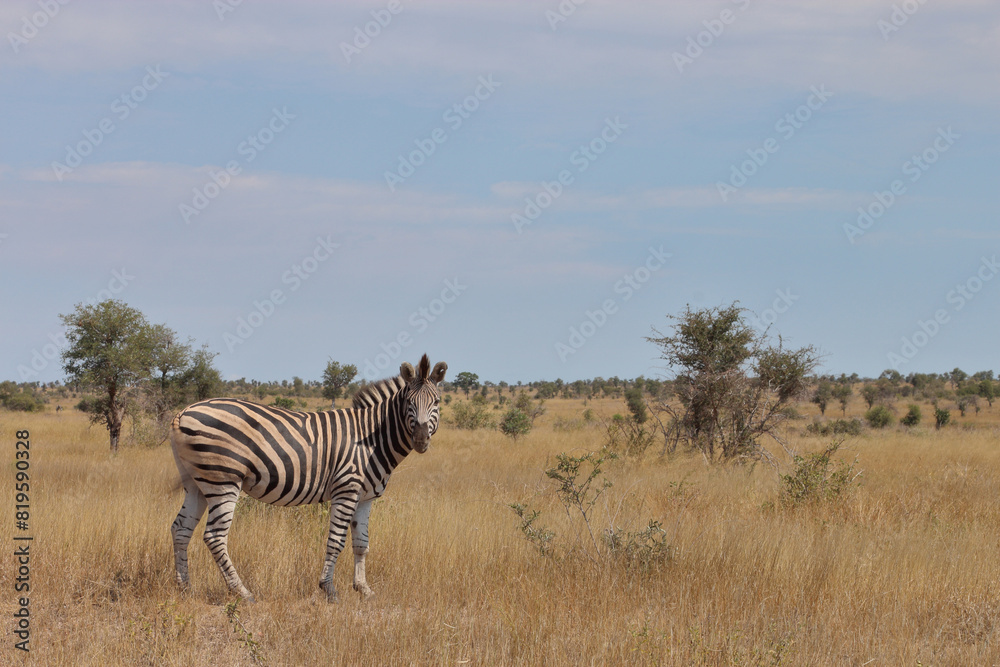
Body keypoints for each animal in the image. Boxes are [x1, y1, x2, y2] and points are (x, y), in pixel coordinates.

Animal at [169, 354, 447, 602]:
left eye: (436, 402)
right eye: (408, 402)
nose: (421, 439)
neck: (372, 439)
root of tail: (184, 411)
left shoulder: (365, 497)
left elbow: (361, 543)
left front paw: (364, 589)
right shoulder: (346, 489)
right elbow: (336, 541)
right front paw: (329, 590)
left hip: (196, 483)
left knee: (180, 529)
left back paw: (185, 588)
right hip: (223, 479)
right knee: (214, 536)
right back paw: (242, 592)